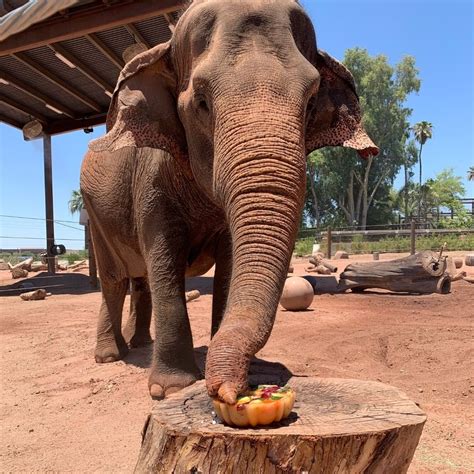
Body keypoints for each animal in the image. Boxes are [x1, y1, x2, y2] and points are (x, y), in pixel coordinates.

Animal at [81, 0, 378, 404]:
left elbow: (229, 263)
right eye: (202, 103)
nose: (227, 391)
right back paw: (111, 355)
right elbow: (163, 257)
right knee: (115, 278)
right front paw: (170, 387)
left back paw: (140, 344)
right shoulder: (151, 180)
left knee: (138, 280)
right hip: (94, 211)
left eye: (312, 101)